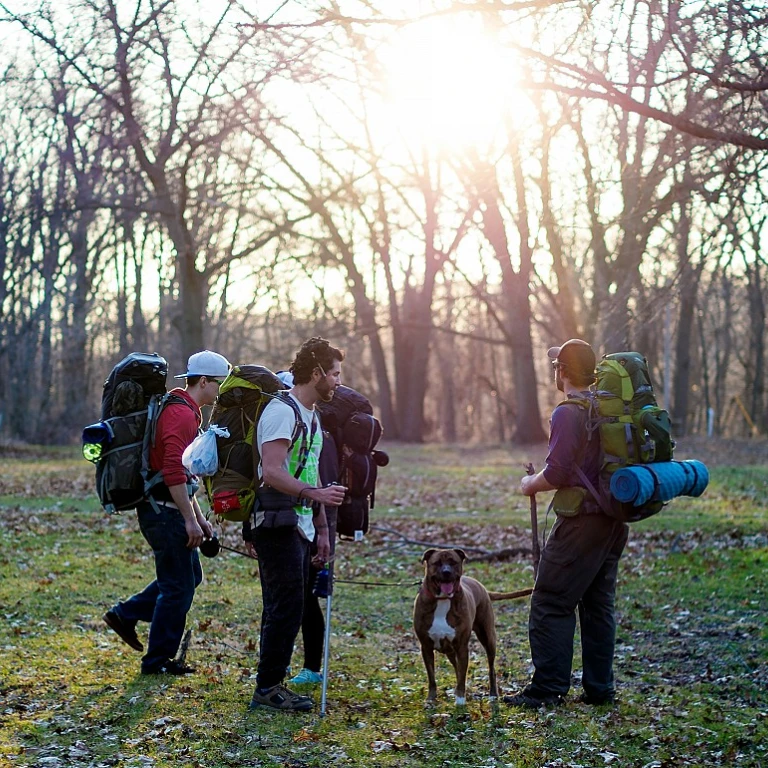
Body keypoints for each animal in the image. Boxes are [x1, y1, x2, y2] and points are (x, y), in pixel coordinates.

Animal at [412, 548, 532, 704]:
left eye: (453, 562)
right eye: (437, 563)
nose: (446, 572)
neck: (442, 599)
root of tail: (481, 586)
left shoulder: (462, 646)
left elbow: (462, 675)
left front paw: (460, 700)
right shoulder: (426, 647)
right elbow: (432, 676)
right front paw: (431, 699)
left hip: (488, 637)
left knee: (491, 668)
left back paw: (493, 694)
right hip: (451, 650)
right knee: (456, 667)